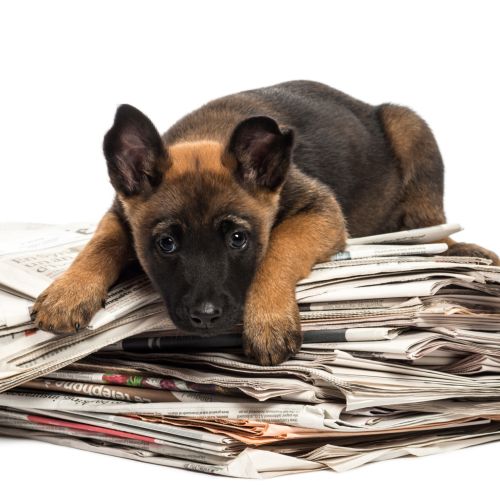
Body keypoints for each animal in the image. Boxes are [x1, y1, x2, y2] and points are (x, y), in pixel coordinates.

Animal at [32, 80, 500, 366]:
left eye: (238, 239)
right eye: (166, 245)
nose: (206, 318)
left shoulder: (320, 213)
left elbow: (279, 248)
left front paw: (268, 319)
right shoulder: (118, 212)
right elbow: (101, 242)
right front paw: (69, 290)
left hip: (411, 131)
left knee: (433, 219)